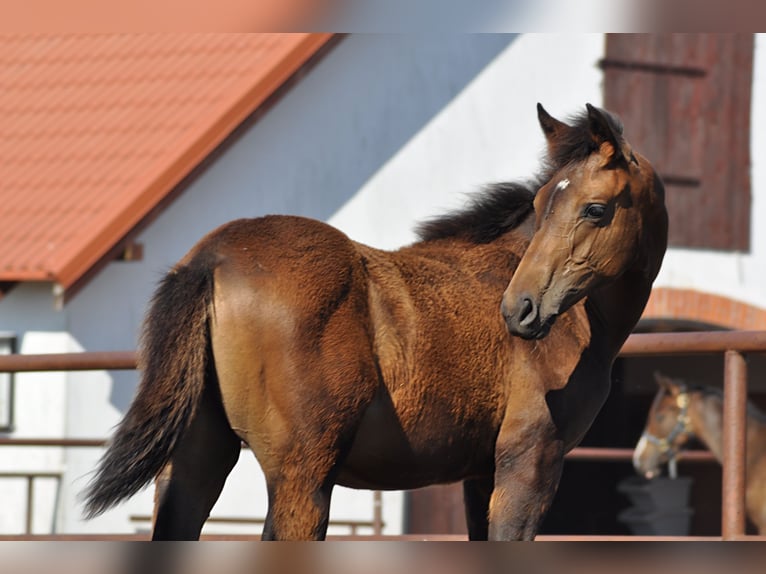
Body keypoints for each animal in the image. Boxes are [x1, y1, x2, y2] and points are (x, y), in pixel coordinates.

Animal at [84, 103, 668, 540]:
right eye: (543, 203)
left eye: (594, 209)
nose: (519, 309)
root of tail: (212, 258)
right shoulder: (530, 463)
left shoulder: (481, 476)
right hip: (304, 477)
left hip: (195, 462)